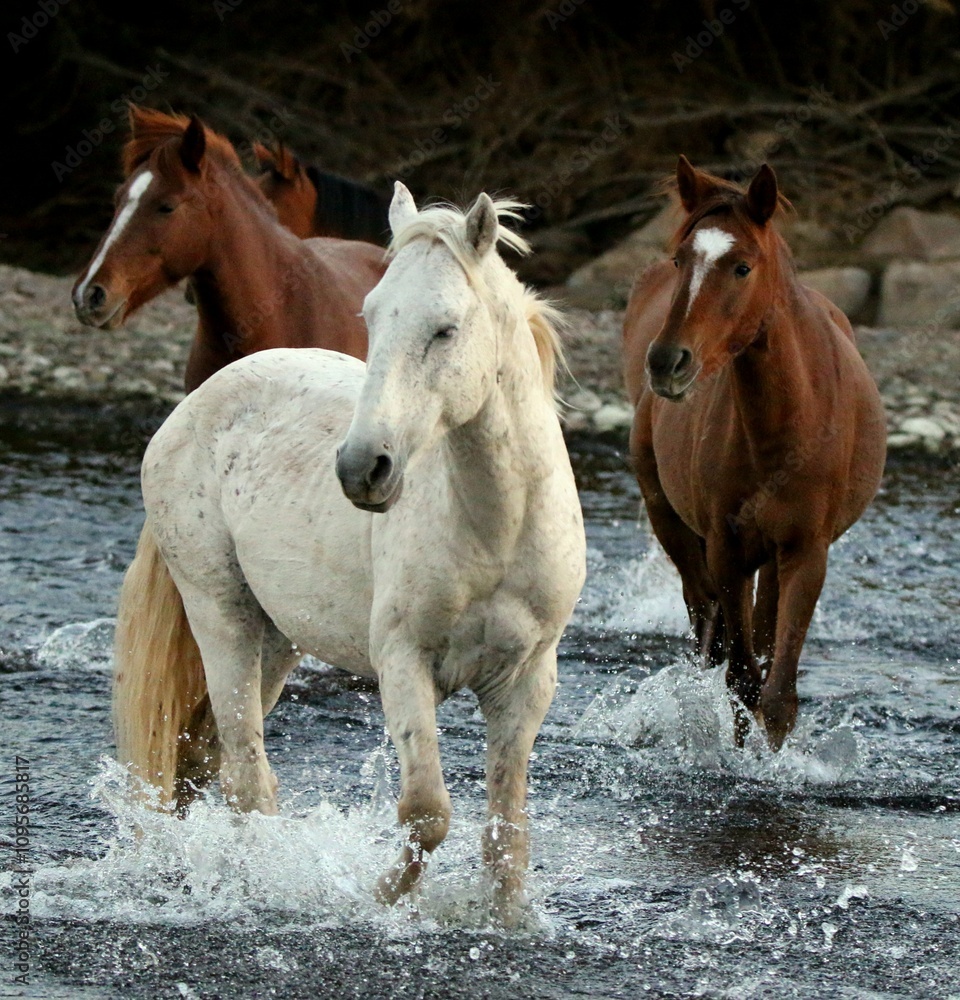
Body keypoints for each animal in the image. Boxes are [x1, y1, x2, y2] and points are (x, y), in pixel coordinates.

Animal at [112, 184, 587, 926]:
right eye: (370, 316)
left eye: (446, 329)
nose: (364, 468)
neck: (497, 528)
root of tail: (190, 409)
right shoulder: (403, 663)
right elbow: (426, 813)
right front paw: (376, 900)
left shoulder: (526, 680)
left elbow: (506, 832)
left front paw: (504, 921)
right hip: (219, 616)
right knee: (245, 771)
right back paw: (259, 885)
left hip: (275, 640)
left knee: (204, 760)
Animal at [622, 156, 886, 750]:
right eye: (680, 259)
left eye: (742, 267)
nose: (667, 362)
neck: (786, 428)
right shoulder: (727, 551)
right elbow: (741, 679)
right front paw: (741, 758)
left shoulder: (806, 552)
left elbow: (778, 692)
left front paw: (773, 761)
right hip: (674, 525)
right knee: (707, 634)